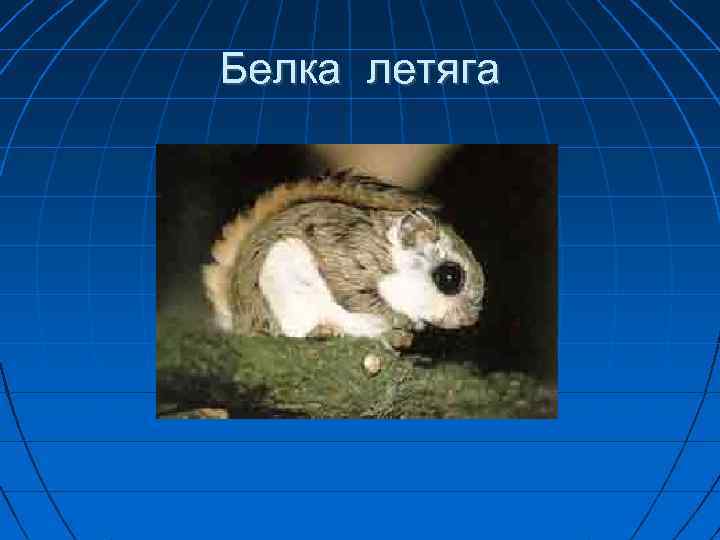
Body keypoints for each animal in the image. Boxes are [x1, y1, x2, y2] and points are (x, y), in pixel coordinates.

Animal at [203, 169, 485, 349]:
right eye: (449, 277)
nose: (469, 320)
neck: (393, 258)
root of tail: (240, 320)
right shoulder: (348, 255)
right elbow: (356, 297)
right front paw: (400, 319)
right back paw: (321, 331)